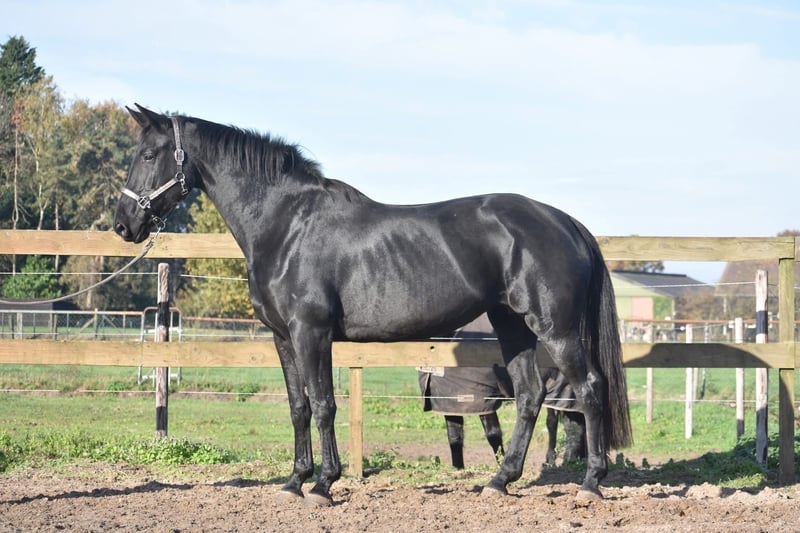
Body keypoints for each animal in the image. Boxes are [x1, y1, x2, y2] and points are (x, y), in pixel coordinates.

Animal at [114, 105, 632, 506]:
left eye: (148, 154)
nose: (123, 225)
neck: (288, 224)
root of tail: (564, 221)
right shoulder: (283, 337)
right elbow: (298, 406)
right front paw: (294, 481)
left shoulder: (311, 332)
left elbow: (324, 404)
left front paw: (323, 485)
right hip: (514, 327)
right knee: (529, 395)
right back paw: (500, 481)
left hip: (555, 328)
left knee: (589, 387)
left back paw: (590, 484)